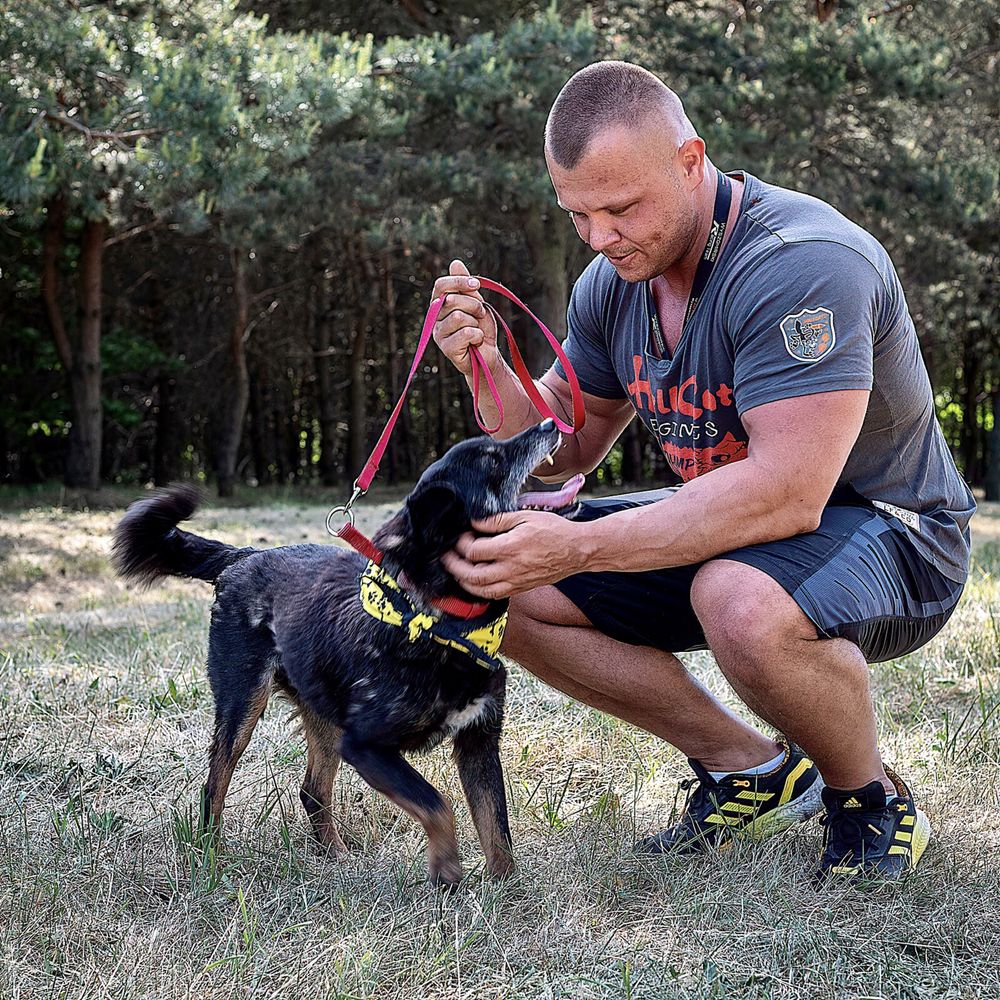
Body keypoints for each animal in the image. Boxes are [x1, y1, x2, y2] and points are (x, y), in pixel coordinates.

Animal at [112, 418, 584, 888]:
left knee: (313, 790)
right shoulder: (366, 745)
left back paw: (335, 856)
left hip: (323, 712)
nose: (550, 421)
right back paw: (211, 856)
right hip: (244, 701)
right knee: (215, 784)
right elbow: (436, 803)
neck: (441, 625)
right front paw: (447, 868)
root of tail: (245, 554)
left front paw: (504, 890)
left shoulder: (478, 742)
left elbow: (496, 828)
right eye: (492, 460)